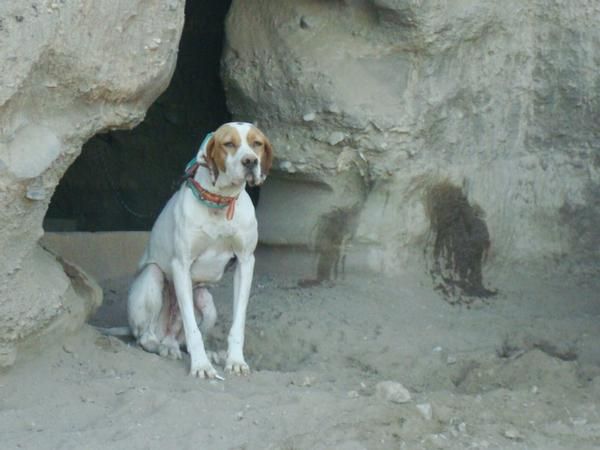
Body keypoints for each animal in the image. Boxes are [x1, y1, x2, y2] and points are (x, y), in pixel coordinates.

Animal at [129, 121, 274, 378]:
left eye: (256, 143)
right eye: (229, 143)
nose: (250, 161)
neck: (220, 202)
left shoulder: (246, 262)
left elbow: (237, 323)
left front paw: (235, 360)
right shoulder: (181, 265)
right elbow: (192, 329)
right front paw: (201, 365)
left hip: (207, 303)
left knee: (179, 337)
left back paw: (195, 350)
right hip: (153, 277)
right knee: (147, 337)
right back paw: (161, 346)